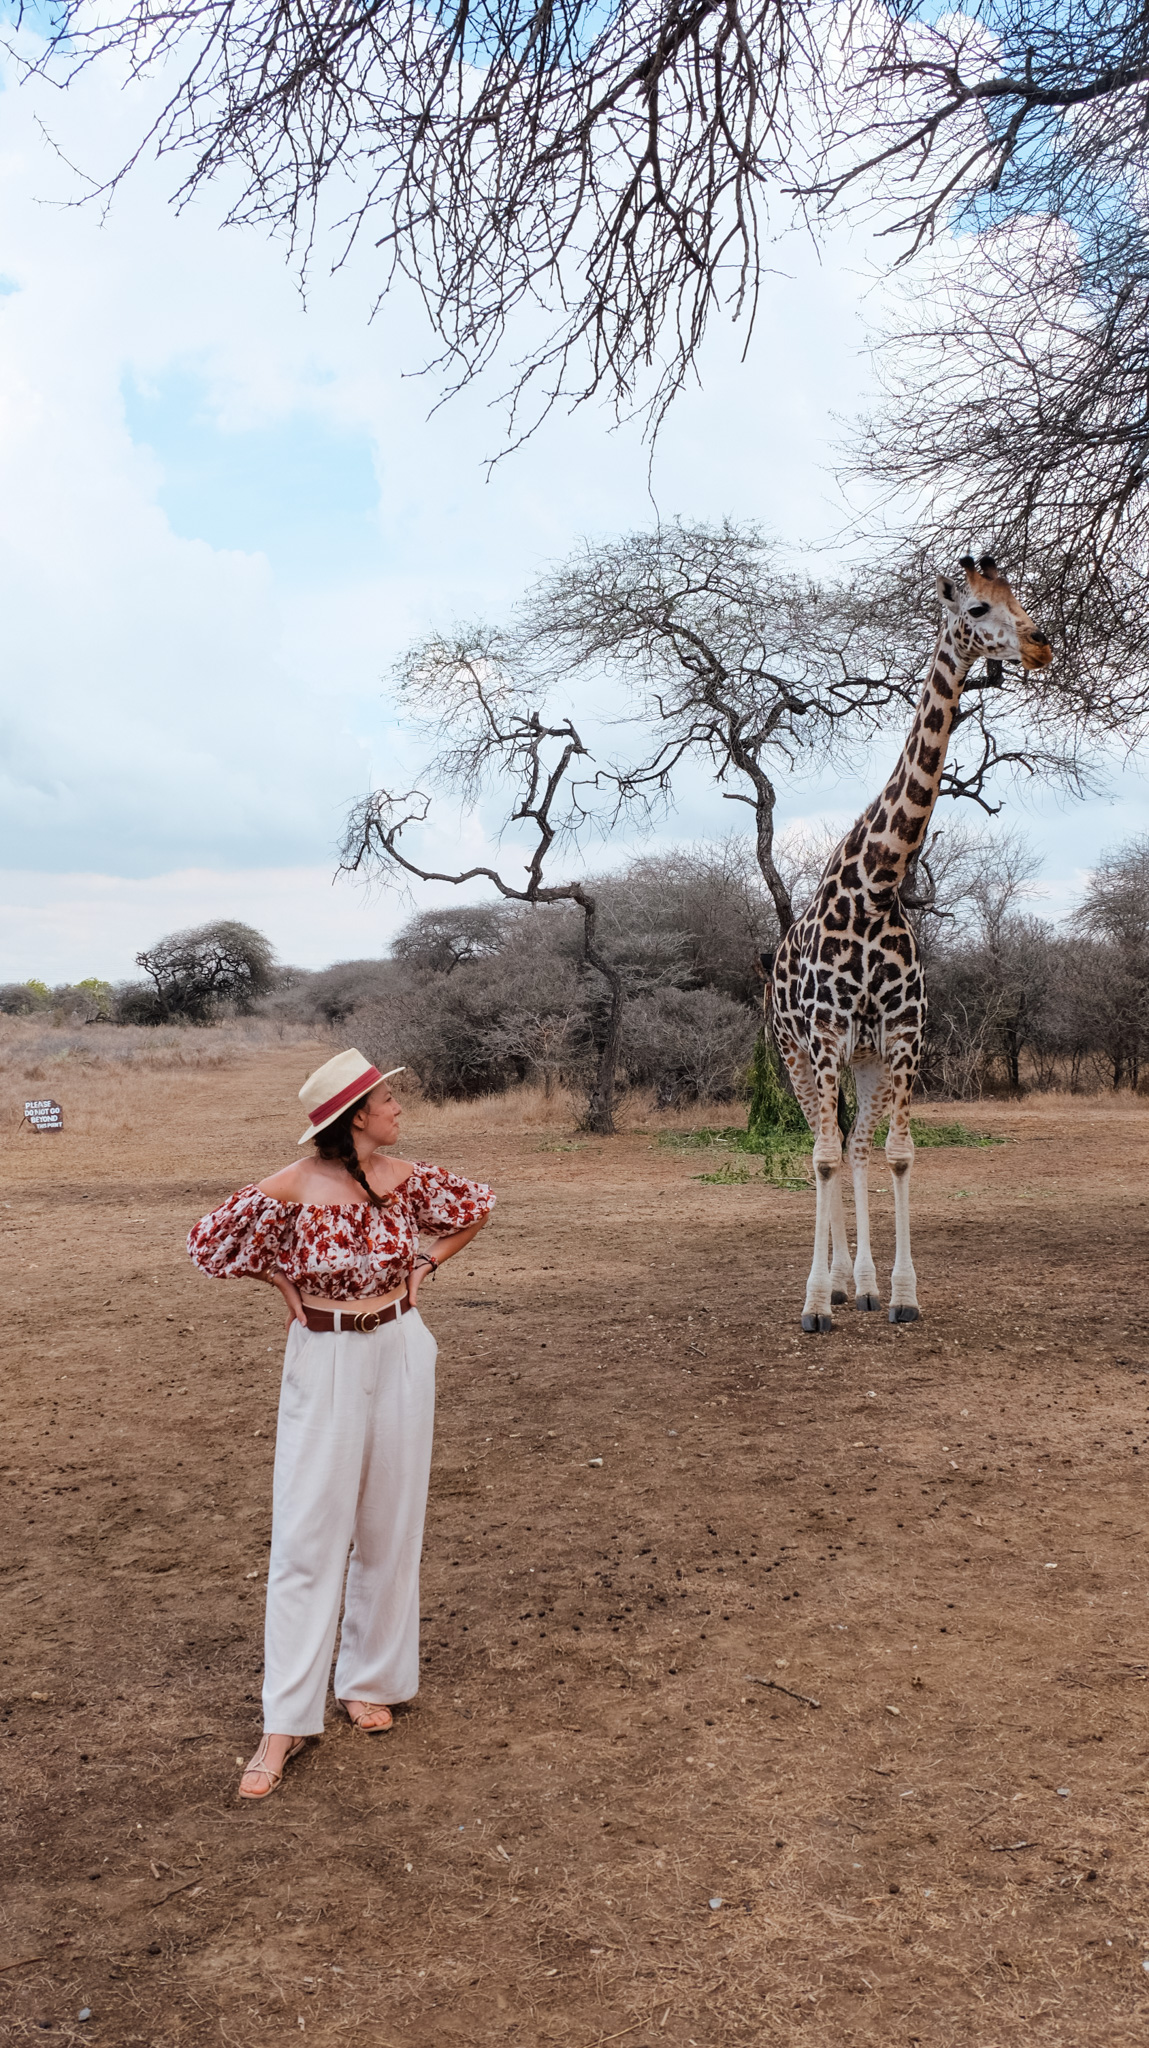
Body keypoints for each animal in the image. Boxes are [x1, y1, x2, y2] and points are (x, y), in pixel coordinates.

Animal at [769, 555, 1052, 1333]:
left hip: (862, 1060)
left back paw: (857, 1283)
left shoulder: (900, 1032)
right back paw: (833, 1286)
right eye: (979, 608)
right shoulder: (826, 1034)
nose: (1041, 644)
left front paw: (898, 1293)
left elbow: (894, 1154)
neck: (877, 881)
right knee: (821, 1142)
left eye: (1020, 599)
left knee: (856, 1145)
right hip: (793, 1053)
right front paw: (813, 1304)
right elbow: (821, 1158)